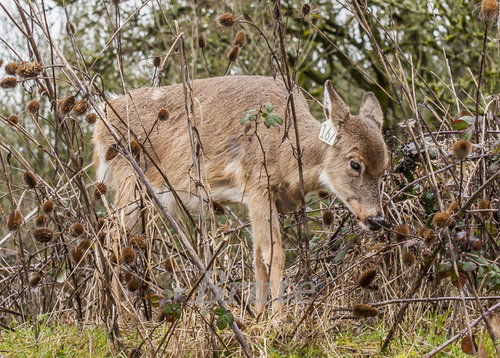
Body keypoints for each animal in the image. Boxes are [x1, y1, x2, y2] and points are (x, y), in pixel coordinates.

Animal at [94, 74, 390, 314]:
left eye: (384, 166)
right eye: (355, 163)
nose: (377, 219)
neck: (285, 150)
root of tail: (100, 120)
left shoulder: (258, 198)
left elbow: (257, 257)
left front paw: (258, 317)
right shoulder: (257, 183)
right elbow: (274, 255)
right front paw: (278, 321)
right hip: (129, 180)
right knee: (111, 238)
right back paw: (121, 317)